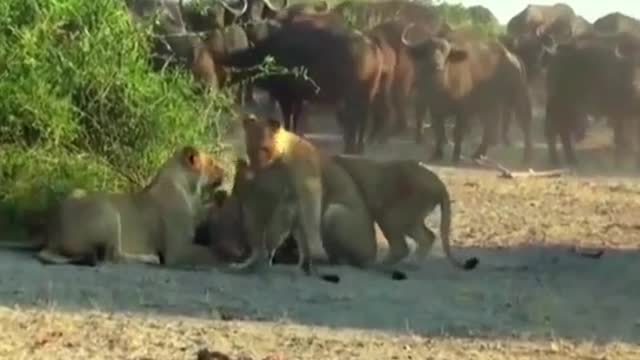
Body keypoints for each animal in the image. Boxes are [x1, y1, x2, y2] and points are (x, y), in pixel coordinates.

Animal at [1, 146, 225, 268]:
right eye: (213, 163)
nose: (225, 171)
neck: (188, 188)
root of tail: (52, 233)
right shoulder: (177, 251)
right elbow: (208, 253)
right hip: (109, 213)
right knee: (112, 256)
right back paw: (150, 258)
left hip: (79, 193)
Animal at [332, 155, 478, 270]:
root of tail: (438, 182)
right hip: (410, 220)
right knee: (428, 236)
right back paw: (412, 264)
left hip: (390, 216)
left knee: (401, 247)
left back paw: (381, 265)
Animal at [402, 25, 532, 165]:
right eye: (426, 50)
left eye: (446, 52)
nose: (436, 65)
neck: (441, 86)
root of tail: (513, 57)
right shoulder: (435, 110)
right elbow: (439, 131)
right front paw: (437, 153)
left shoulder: (463, 111)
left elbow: (457, 132)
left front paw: (456, 156)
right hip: (489, 105)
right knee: (490, 127)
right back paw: (478, 153)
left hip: (517, 97)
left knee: (524, 123)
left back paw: (526, 157)